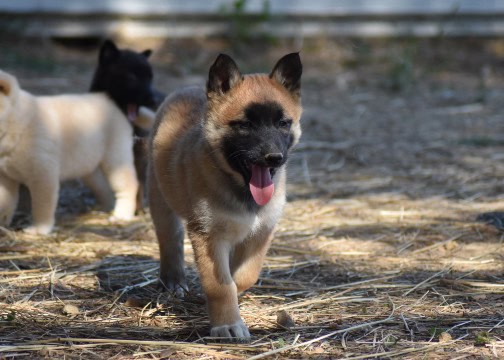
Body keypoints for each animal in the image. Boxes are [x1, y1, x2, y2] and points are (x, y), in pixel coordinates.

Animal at [0, 70, 139, 235]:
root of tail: (110, 102)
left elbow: (42, 206)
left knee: (128, 186)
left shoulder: (43, 175)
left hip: (115, 160)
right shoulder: (5, 178)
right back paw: (106, 207)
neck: (15, 124)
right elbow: (5, 203)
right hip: (90, 169)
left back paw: (122, 214)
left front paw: (39, 229)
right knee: (103, 188)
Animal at [148, 52, 302, 338]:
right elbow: (220, 284)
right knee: (169, 242)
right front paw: (227, 324)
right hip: (161, 203)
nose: (274, 157)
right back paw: (173, 281)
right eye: (244, 125)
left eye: (283, 123)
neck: (240, 188)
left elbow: (243, 276)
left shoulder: (261, 233)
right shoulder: (209, 237)